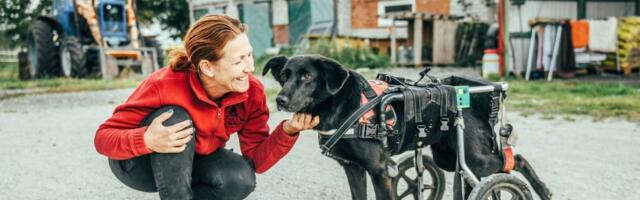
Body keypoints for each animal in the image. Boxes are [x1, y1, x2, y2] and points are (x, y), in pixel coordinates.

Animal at [262, 55, 552, 200]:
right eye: (285, 76)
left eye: (306, 76)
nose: (280, 100)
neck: (342, 105)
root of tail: (471, 92)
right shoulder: (353, 168)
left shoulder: (381, 170)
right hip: (448, 158)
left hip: (475, 158)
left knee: (513, 159)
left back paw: (542, 190)